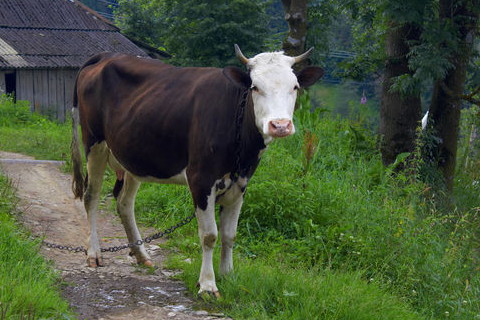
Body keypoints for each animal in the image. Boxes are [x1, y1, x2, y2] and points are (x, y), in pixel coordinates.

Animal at [71, 43, 324, 296]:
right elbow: (209, 235)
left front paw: (228, 276)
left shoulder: (241, 183)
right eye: (255, 87)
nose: (280, 125)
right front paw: (208, 284)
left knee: (124, 203)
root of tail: (107, 55)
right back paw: (94, 252)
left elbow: (230, 235)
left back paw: (142, 255)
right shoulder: (201, 180)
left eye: (295, 87)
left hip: (132, 156)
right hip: (94, 143)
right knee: (91, 196)